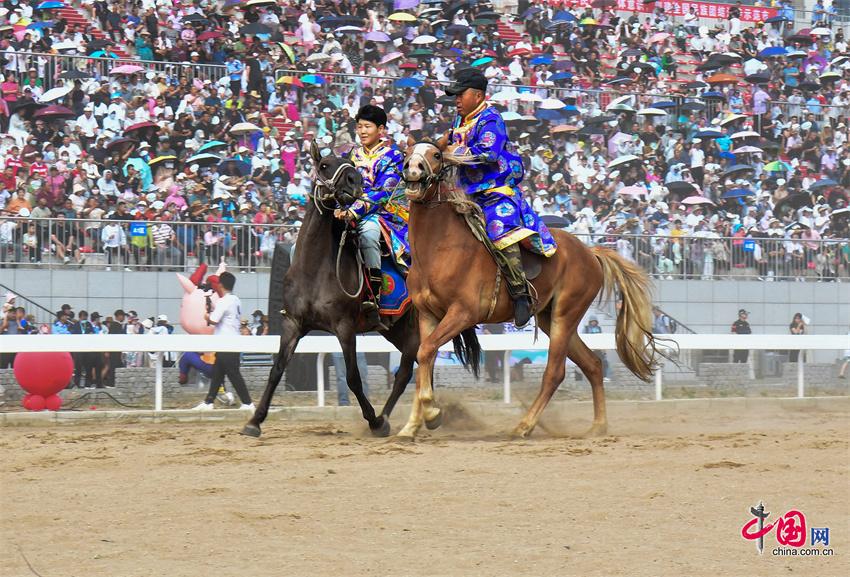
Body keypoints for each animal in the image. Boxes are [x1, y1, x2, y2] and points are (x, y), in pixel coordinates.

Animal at [398, 142, 664, 438]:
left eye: (435, 155)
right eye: (408, 151)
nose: (412, 168)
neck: (440, 248)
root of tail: (591, 253)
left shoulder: (463, 313)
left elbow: (425, 352)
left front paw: (432, 413)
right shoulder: (428, 315)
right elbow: (425, 357)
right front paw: (411, 425)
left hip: (565, 315)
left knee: (555, 372)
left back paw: (524, 425)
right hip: (551, 318)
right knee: (593, 365)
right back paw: (597, 426)